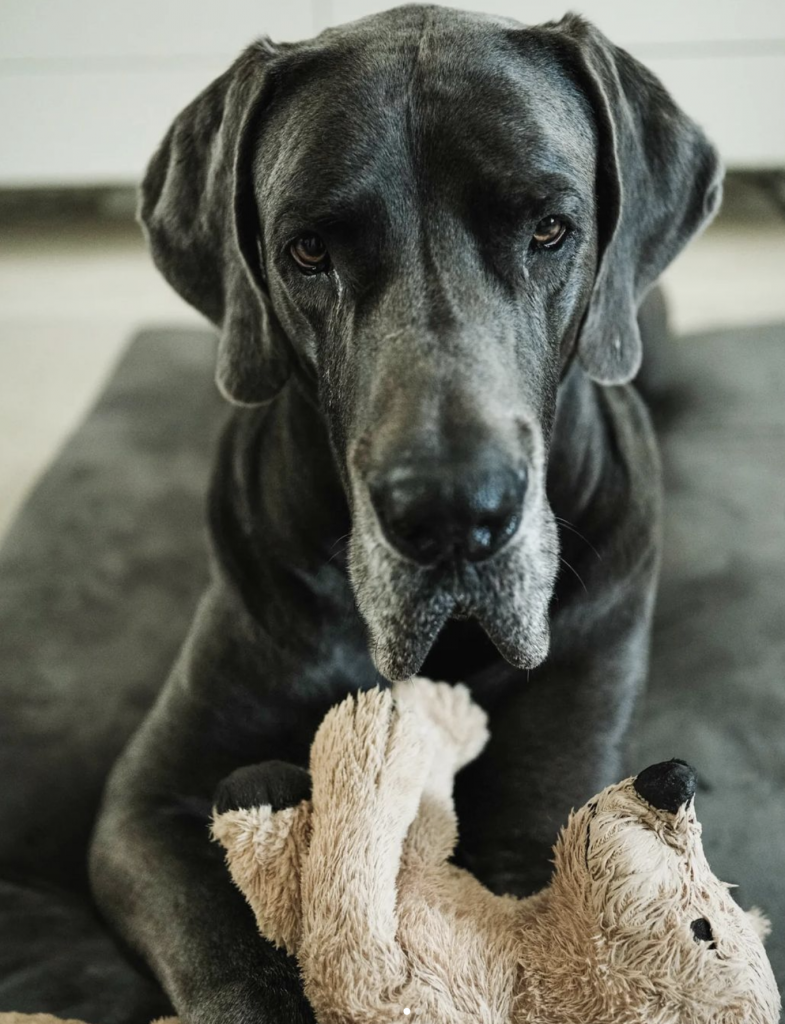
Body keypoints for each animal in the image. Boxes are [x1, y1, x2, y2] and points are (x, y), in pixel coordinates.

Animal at [89, 4, 720, 1019]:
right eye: (309, 250)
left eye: (550, 228)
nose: (455, 516)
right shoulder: (145, 806)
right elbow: (226, 955)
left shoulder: (554, 808)